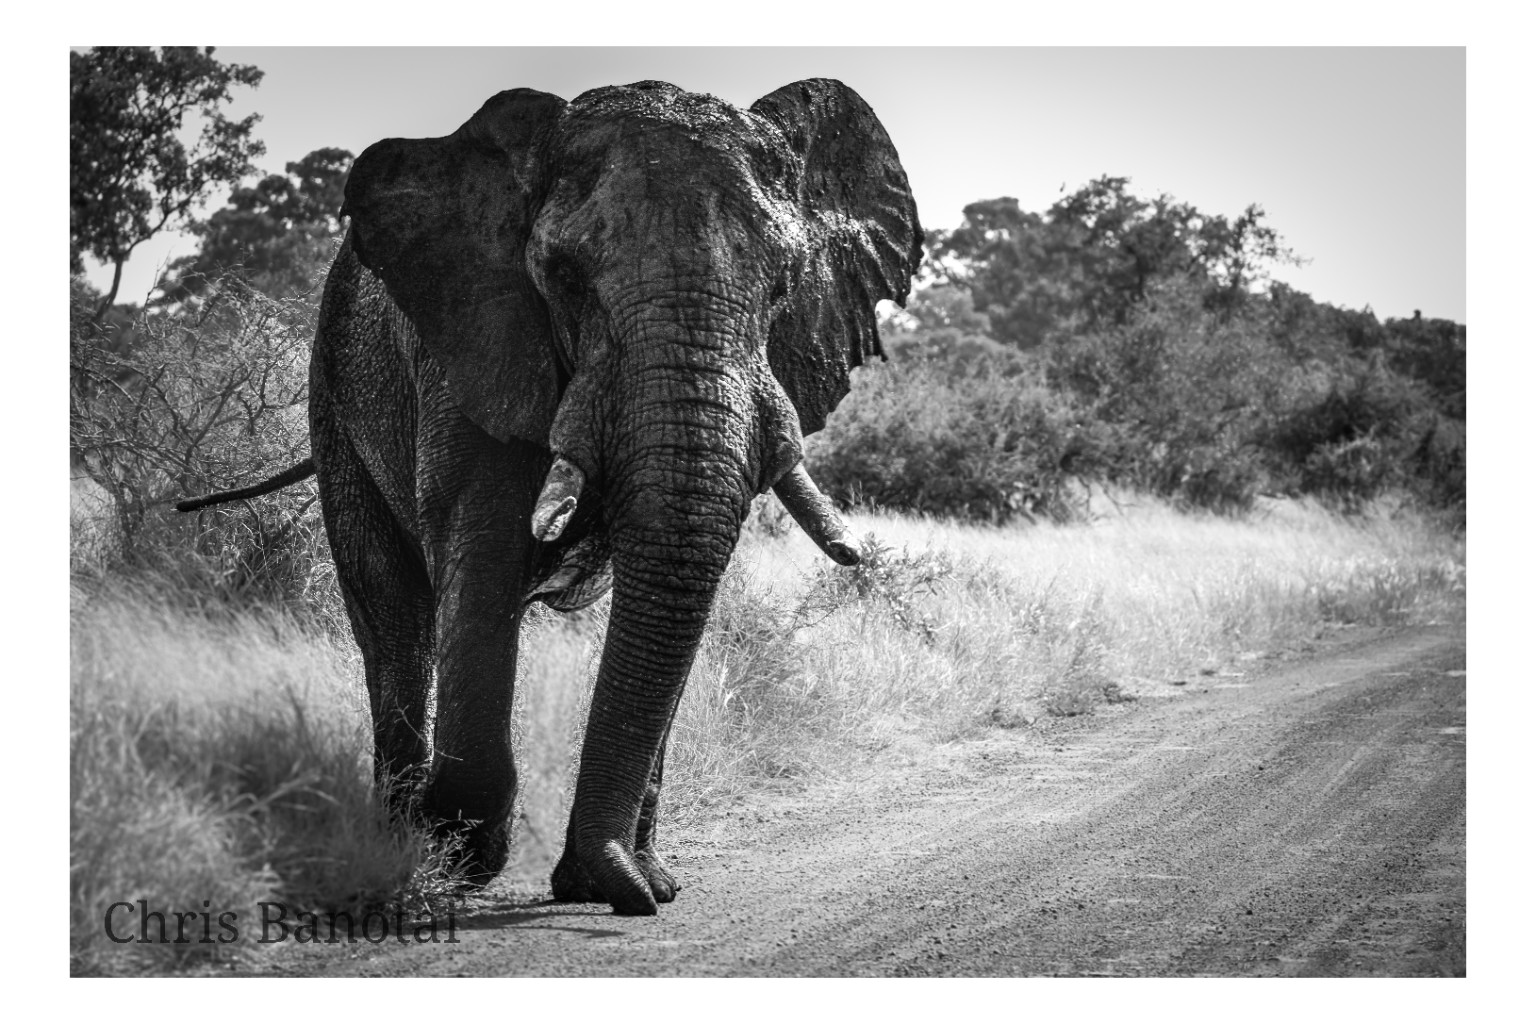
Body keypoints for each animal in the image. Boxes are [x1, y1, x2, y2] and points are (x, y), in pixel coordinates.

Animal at [178, 79, 922, 915]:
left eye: (784, 288)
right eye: (563, 277)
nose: (624, 894)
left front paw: (631, 881)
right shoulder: (478, 336)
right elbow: (485, 548)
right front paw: (464, 852)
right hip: (335, 395)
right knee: (392, 619)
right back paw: (400, 849)